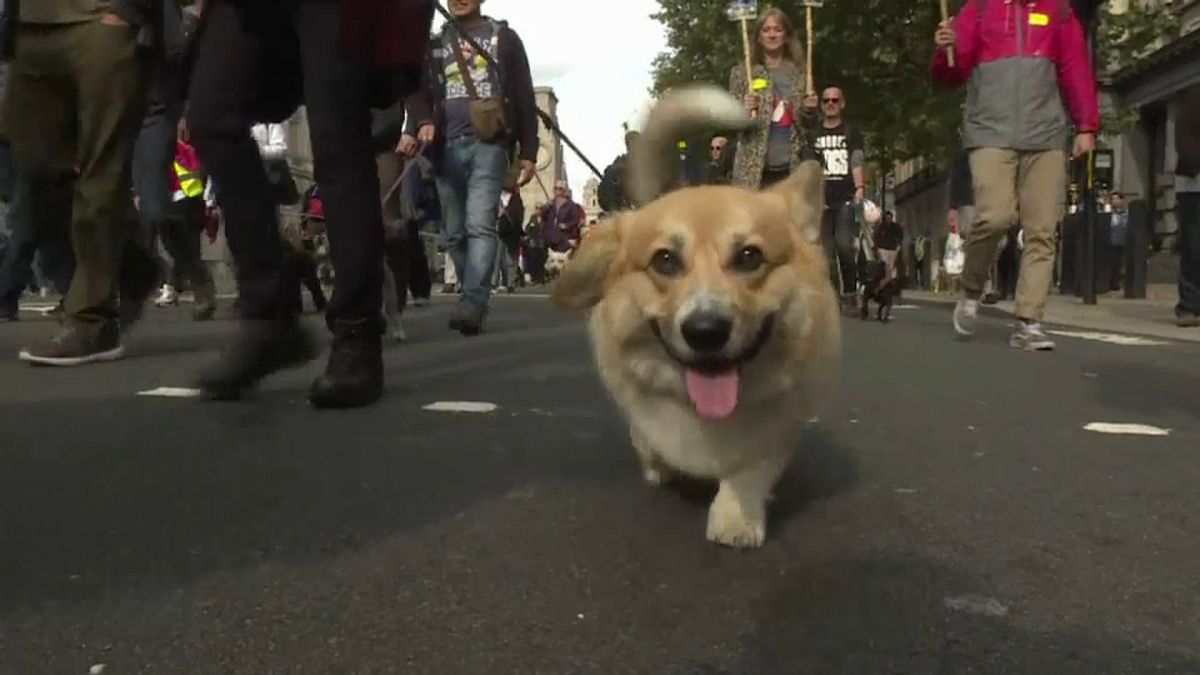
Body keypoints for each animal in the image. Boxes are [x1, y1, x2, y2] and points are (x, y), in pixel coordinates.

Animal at [549, 85, 840, 547]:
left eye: (749, 256)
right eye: (664, 260)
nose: (705, 331)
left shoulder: (783, 420)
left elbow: (752, 469)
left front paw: (736, 518)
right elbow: (649, 439)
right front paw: (659, 467)